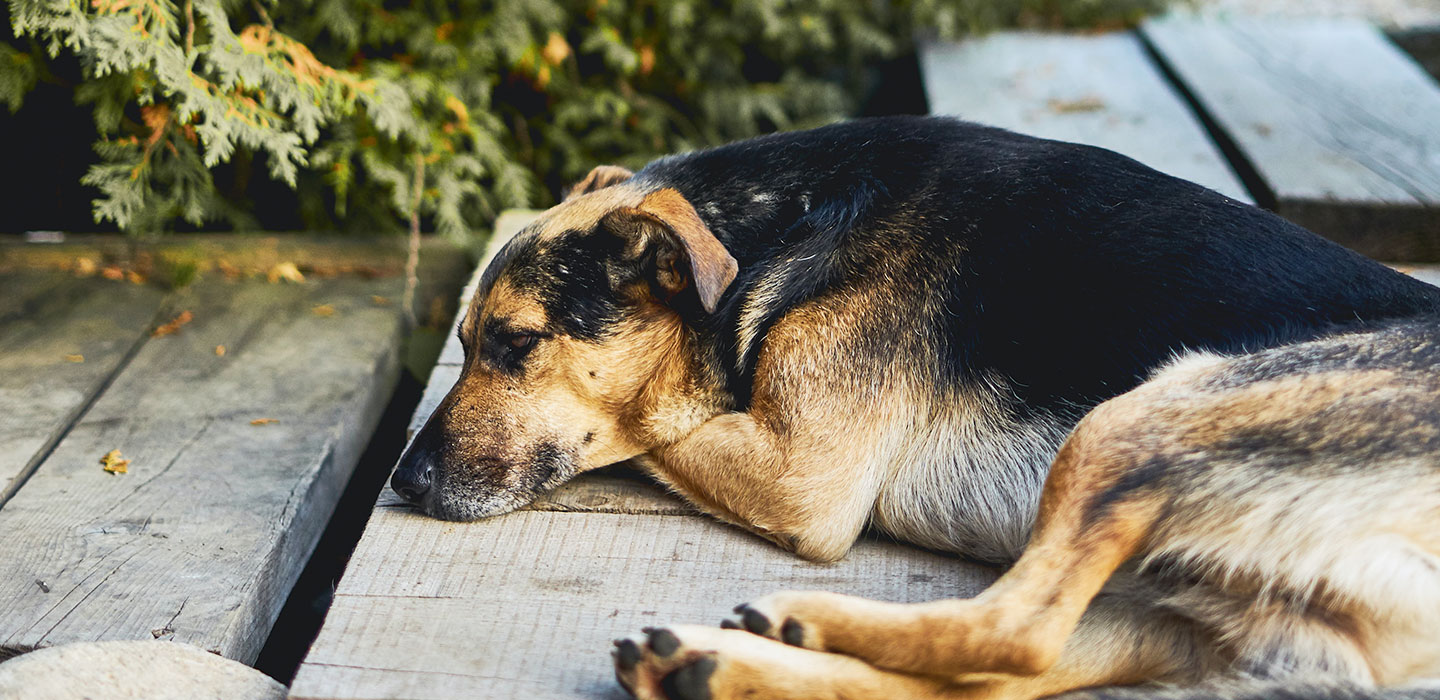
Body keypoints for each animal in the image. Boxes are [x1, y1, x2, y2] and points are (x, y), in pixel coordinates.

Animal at [391, 115, 1440, 700]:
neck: (788, 225)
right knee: (989, 677)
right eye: (466, 341)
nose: (401, 484)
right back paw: (720, 665)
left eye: (514, 343)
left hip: (1141, 419)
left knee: (1012, 630)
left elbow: (651, 422)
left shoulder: (801, 478)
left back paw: (789, 621)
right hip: (1176, 608)